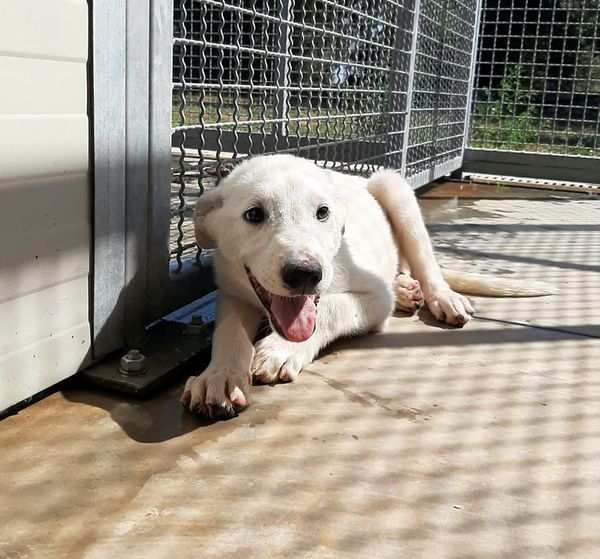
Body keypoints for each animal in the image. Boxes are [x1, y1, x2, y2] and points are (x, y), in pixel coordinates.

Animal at [182, 155, 552, 418]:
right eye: (254, 214)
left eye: (323, 212)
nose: (306, 274)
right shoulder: (232, 289)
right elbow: (229, 331)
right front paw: (221, 377)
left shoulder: (375, 296)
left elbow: (330, 308)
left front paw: (279, 349)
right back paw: (407, 291)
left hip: (394, 188)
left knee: (425, 262)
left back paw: (441, 297)